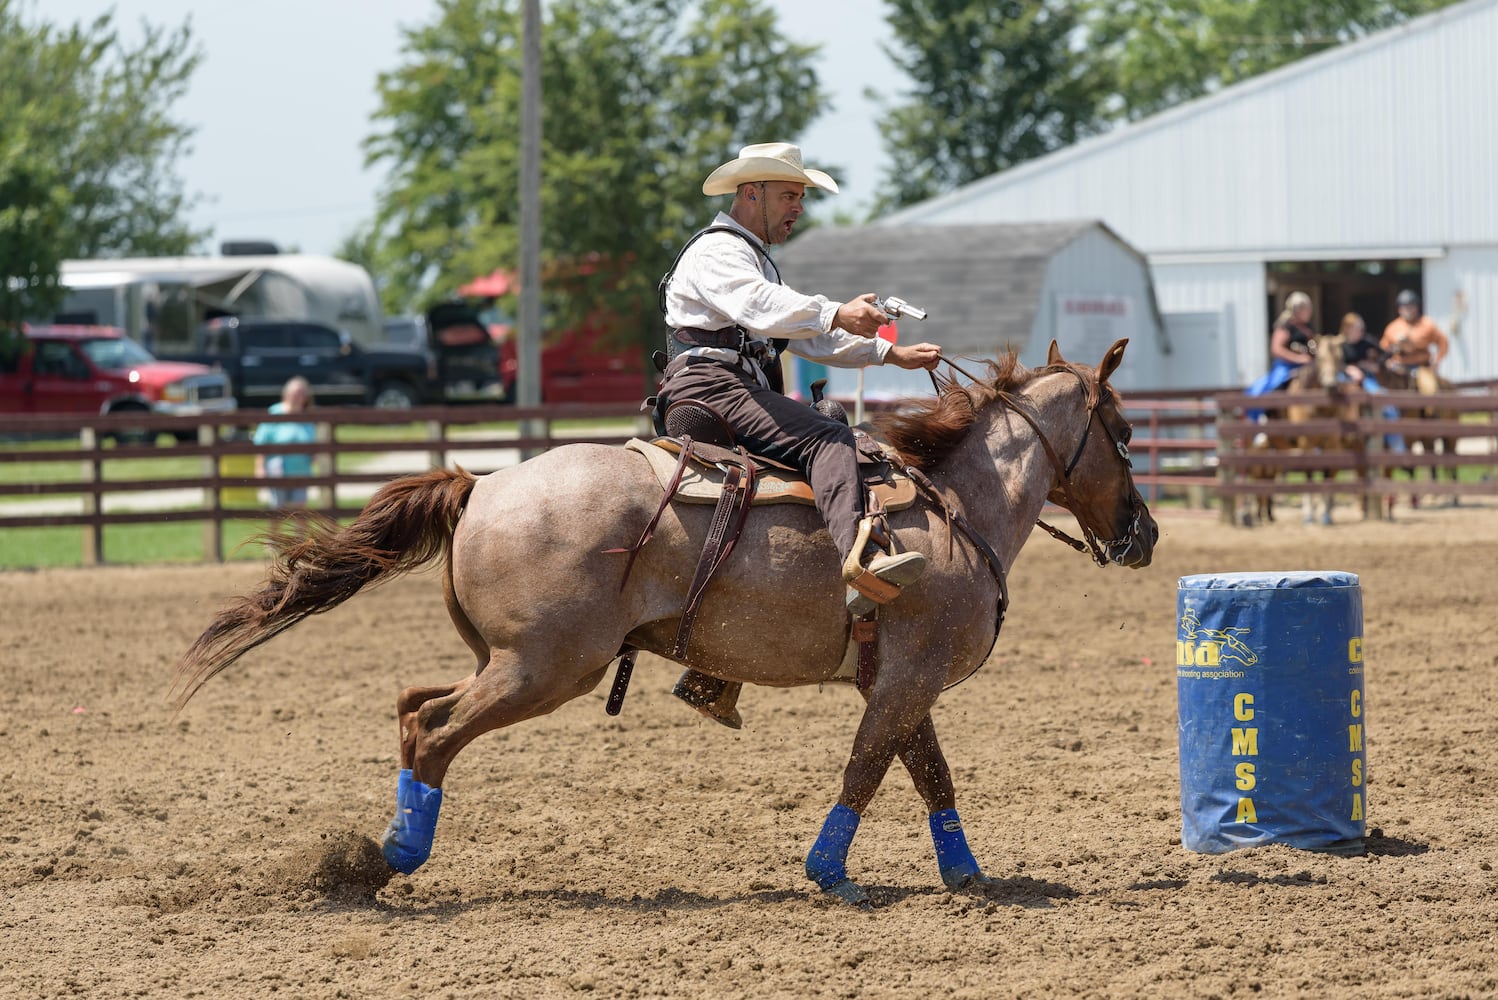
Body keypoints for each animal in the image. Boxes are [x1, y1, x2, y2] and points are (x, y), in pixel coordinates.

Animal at [175, 338, 1156, 904]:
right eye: (1124, 432)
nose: (1144, 534)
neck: (956, 511)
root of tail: (482, 484)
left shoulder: (898, 681)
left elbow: (927, 775)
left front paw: (966, 875)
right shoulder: (906, 681)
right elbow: (870, 770)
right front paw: (830, 875)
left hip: (509, 661)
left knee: (416, 705)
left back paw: (373, 857)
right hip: (544, 668)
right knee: (437, 728)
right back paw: (396, 857)